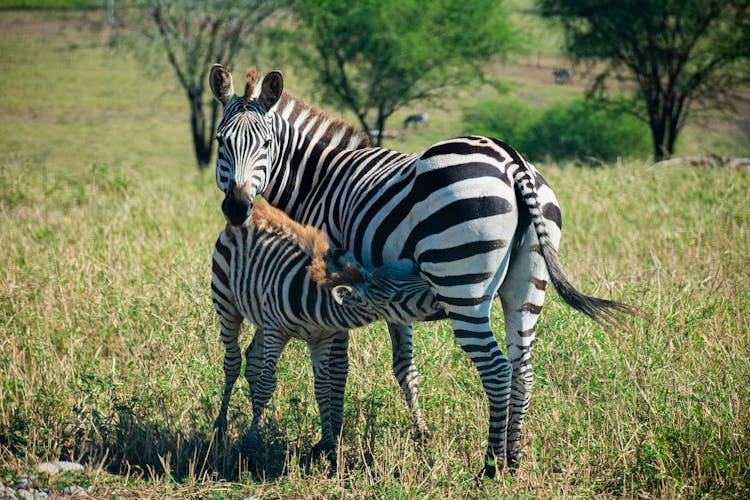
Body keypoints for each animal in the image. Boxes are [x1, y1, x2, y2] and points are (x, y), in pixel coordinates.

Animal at [210, 199, 440, 464]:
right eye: (397, 297)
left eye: (412, 276)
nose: (439, 295)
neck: (316, 301)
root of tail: (254, 209)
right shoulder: (276, 331)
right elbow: (268, 384)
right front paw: (249, 448)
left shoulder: (322, 338)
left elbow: (323, 387)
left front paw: (329, 446)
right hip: (226, 304)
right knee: (232, 362)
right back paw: (220, 428)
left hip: (260, 315)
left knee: (253, 360)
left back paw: (260, 421)